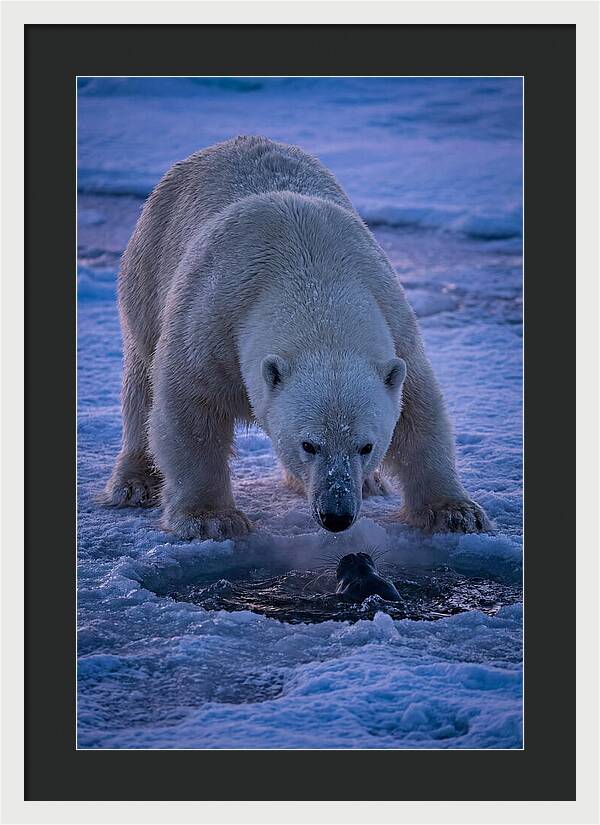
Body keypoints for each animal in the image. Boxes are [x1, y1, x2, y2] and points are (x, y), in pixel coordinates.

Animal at [103, 135, 491, 540]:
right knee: (141, 380)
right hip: (148, 267)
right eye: (309, 444)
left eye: (366, 446)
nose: (337, 515)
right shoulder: (212, 320)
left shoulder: (395, 323)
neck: (311, 273)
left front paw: (457, 513)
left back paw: (371, 484)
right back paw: (135, 483)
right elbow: (190, 410)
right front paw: (211, 519)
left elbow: (419, 411)